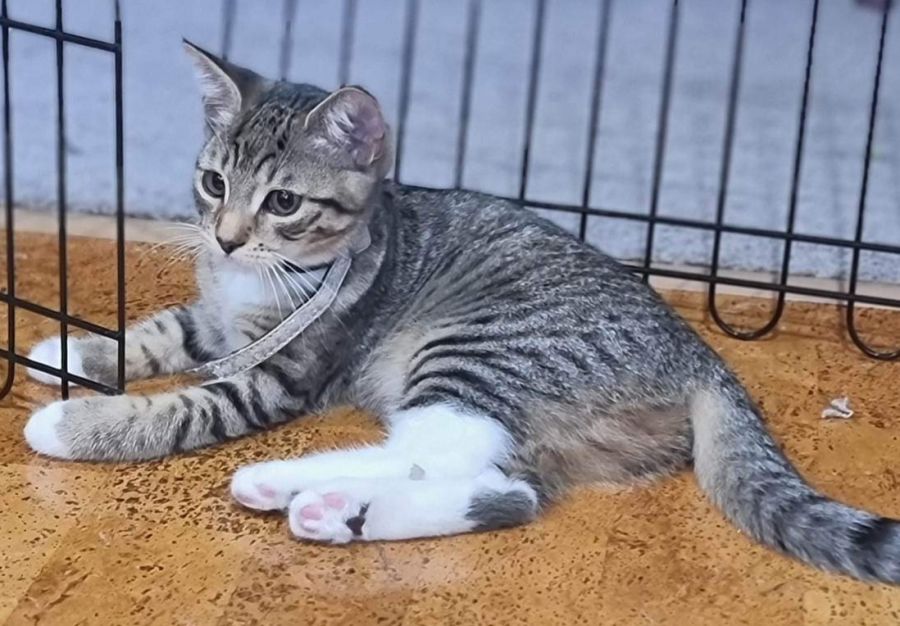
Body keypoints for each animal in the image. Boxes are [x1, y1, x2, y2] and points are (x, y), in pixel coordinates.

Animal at [23, 40, 900, 583]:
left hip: (481, 348)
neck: (268, 276)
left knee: (438, 445)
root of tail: (701, 355)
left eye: (284, 202)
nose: (227, 237)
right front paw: (68, 352)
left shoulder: (278, 373)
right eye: (213, 184)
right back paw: (330, 511)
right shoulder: (218, 320)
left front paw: (72, 422)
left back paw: (286, 483)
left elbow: (181, 407)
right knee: (509, 491)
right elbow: (162, 330)